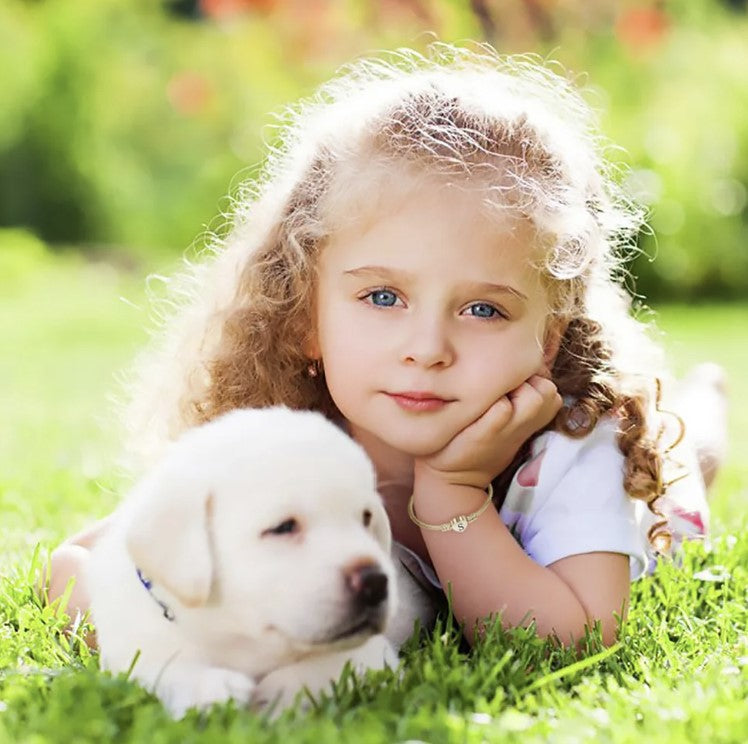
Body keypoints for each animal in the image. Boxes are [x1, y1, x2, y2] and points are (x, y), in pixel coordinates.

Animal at [87, 410, 400, 716]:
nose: (375, 582)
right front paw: (212, 689)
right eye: (283, 527)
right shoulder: (131, 650)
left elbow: (333, 664)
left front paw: (282, 693)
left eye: (366, 518)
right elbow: (160, 669)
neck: (234, 638)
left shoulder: (376, 654)